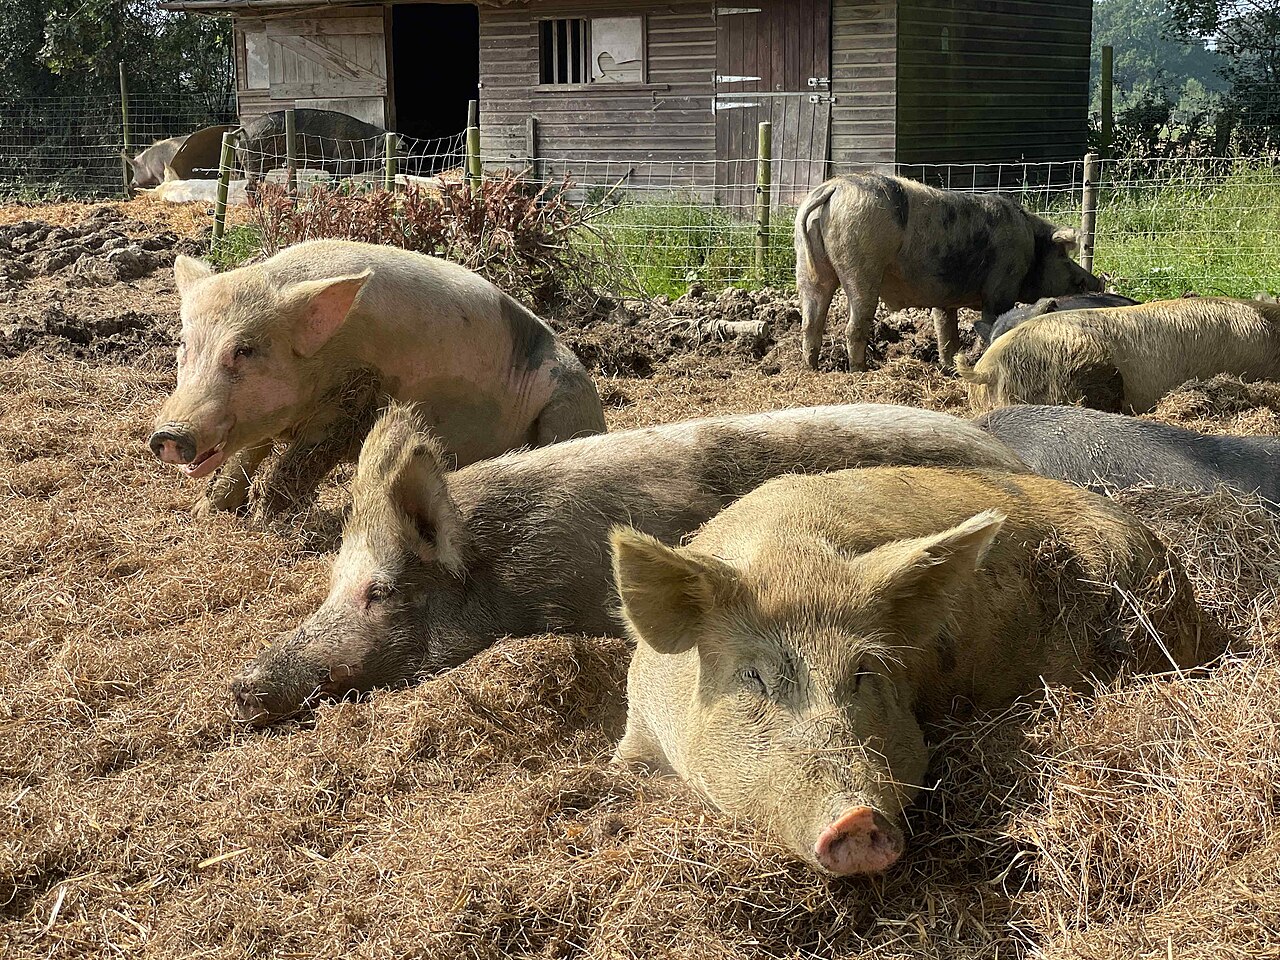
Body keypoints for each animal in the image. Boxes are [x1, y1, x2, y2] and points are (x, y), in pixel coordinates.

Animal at [148, 239, 605, 516]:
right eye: (184, 345)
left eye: (242, 351)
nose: (167, 435)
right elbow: (246, 454)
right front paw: (207, 512)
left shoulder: (352, 397)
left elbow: (301, 458)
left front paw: (266, 517)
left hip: (566, 408)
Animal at [236, 109, 393, 194]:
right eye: (383, 148)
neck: (362, 141)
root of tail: (242, 133)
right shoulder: (344, 160)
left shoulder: (333, 168)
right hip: (255, 164)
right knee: (250, 187)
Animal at [794, 173, 1102, 371]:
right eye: (1063, 256)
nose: (1096, 282)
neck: (1032, 244)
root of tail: (833, 188)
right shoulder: (1001, 285)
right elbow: (990, 319)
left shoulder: (944, 299)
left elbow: (947, 333)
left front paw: (948, 366)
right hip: (862, 264)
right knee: (854, 324)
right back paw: (860, 370)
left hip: (807, 266)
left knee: (811, 321)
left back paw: (811, 368)